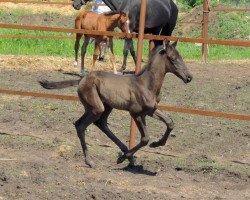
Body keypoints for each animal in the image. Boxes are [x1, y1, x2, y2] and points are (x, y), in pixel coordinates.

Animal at [39, 41, 192, 168]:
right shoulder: (135, 113)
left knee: (100, 123)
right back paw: (91, 161)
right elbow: (145, 138)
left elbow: (170, 122)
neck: (146, 84)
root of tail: (81, 80)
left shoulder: (150, 110)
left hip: (106, 106)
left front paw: (157, 144)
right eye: (173, 59)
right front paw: (123, 157)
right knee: (81, 125)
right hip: (97, 107)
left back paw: (125, 153)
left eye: (181, 57)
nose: (189, 77)